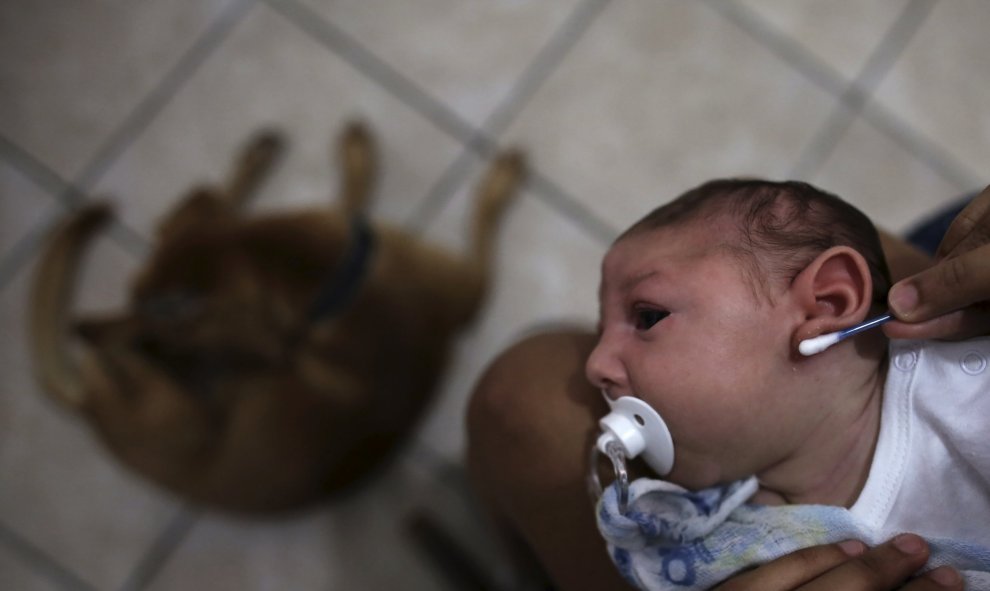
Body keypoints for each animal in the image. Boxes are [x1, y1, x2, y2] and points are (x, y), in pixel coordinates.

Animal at [29, 122, 528, 516]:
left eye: (172, 317)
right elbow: (477, 224)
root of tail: (91, 410)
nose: (85, 329)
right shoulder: (470, 288)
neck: (335, 281)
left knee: (206, 202)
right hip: (186, 407)